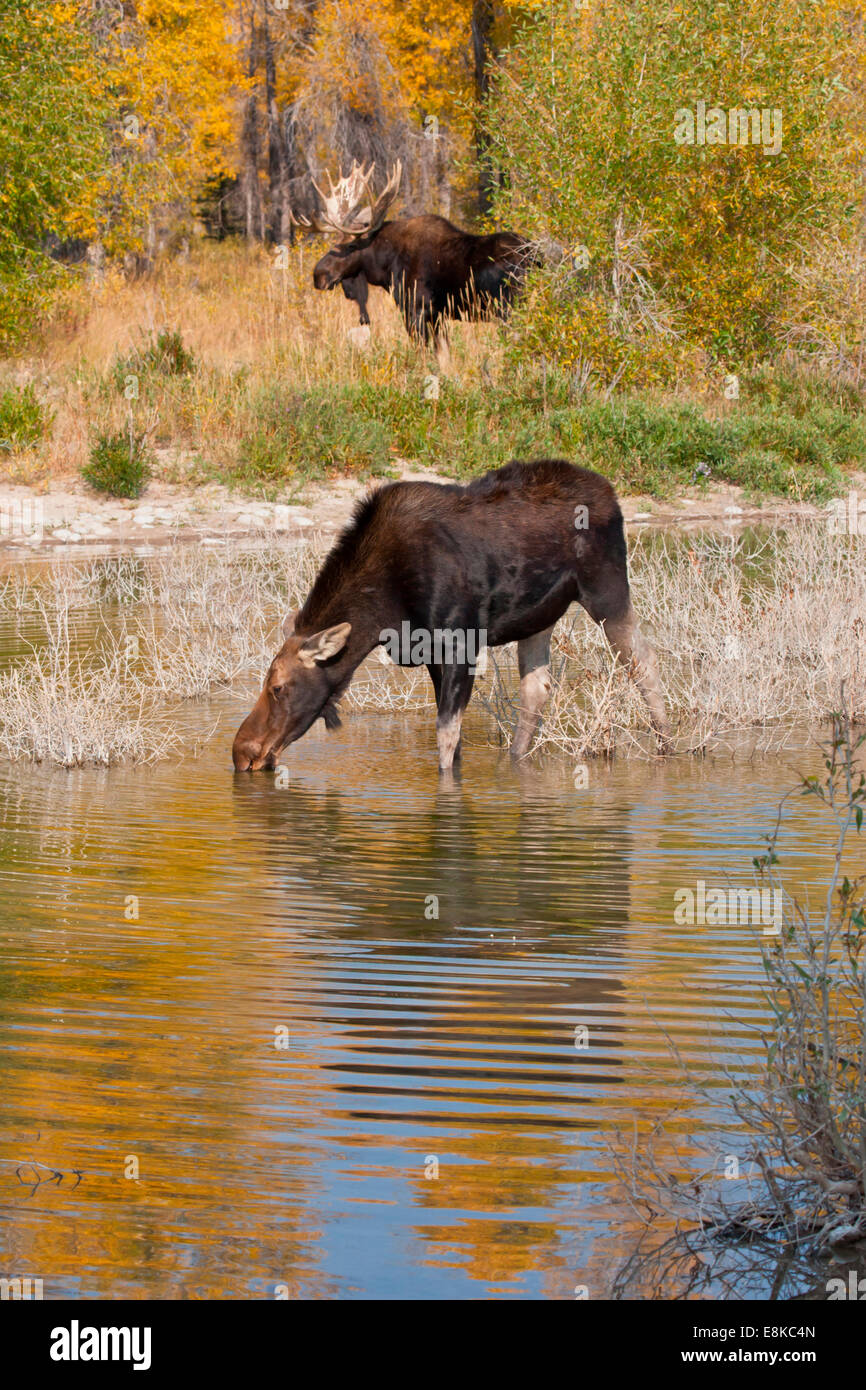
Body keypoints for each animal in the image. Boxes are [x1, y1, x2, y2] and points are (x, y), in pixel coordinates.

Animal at [232, 459, 671, 774]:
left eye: (278, 687)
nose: (242, 752)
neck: (383, 609)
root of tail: (612, 495)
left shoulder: (461, 643)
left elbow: (445, 736)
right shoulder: (432, 654)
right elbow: (453, 739)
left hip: (607, 590)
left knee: (643, 661)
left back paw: (666, 747)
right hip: (540, 616)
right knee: (537, 686)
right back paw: (516, 759)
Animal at [294, 162, 536, 359]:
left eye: (351, 246)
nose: (318, 275)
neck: (386, 267)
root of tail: (537, 258)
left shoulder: (416, 310)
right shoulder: (438, 316)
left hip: (509, 310)